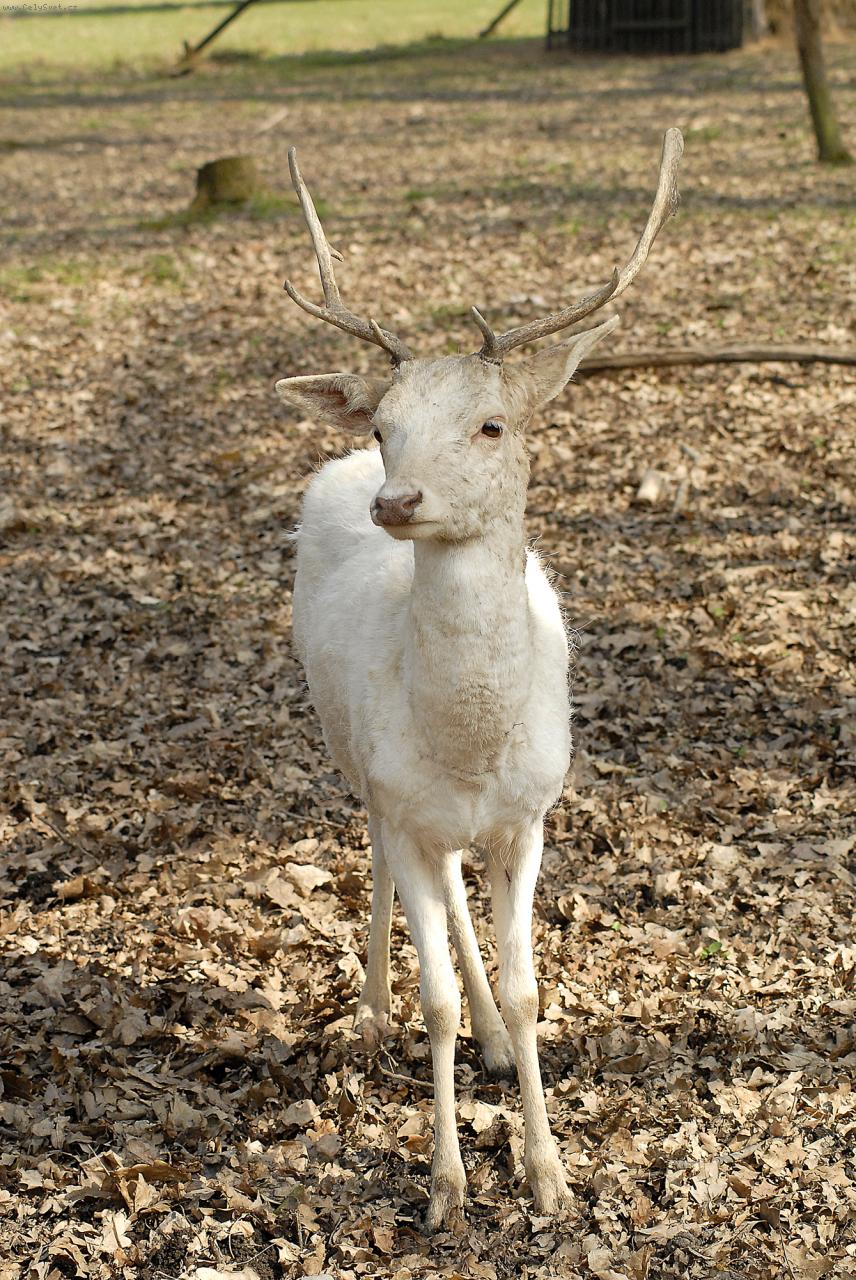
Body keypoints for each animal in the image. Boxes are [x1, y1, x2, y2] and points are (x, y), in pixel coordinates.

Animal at [276, 129, 683, 1230]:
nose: (396, 499)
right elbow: (439, 1000)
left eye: (494, 424)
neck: (465, 740)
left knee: (455, 892)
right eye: (385, 424)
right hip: (349, 755)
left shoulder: (531, 812)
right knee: (380, 860)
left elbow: (531, 986)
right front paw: (448, 1188)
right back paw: (372, 1014)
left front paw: (548, 1174)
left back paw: (496, 1044)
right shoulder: (402, 794)